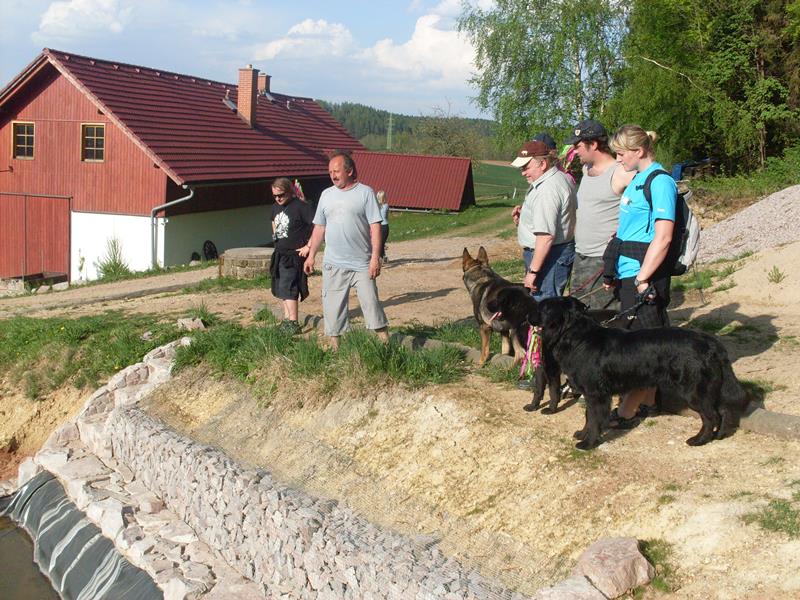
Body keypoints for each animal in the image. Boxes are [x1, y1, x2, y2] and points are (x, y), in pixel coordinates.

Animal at [533, 296, 750, 449]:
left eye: (542, 308)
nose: (529, 316)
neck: (578, 337)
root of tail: (711, 343)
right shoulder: (591, 393)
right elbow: (588, 416)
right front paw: (582, 434)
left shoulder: (596, 394)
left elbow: (594, 419)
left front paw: (588, 443)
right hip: (710, 388)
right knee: (723, 410)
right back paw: (718, 436)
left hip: (695, 391)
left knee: (711, 416)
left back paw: (699, 440)